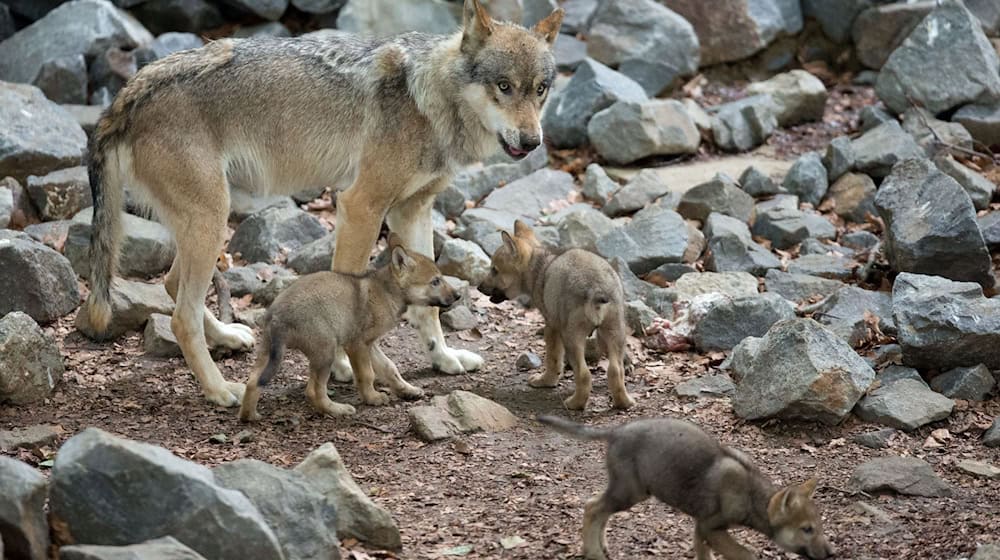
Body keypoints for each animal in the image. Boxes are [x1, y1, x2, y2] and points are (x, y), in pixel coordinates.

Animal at [82, 0, 568, 404]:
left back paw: (229, 338)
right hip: (211, 220)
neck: (430, 99)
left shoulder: (413, 209)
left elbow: (428, 308)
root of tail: (128, 92)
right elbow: (349, 292)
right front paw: (343, 367)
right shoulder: (360, 205)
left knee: (170, 285)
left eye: (540, 89)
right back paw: (221, 391)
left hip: (207, 222)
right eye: (503, 86)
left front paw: (443, 360)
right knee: (181, 316)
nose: (532, 142)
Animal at [540, 416, 836, 560]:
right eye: (807, 529)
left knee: (598, 508)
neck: (751, 494)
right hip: (630, 492)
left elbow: (703, 555)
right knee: (592, 508)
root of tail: (616, 430)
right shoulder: (710, 527)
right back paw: (593, 553)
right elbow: (746, 554)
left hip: (627, 490)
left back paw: (601, 547)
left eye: (820, 527)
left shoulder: (699, 527)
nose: (832, 554)